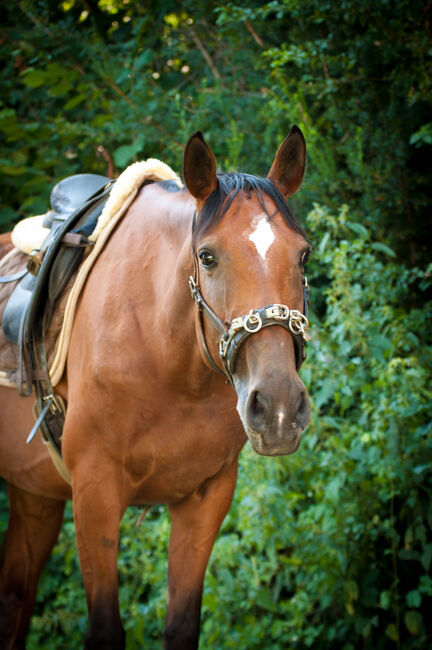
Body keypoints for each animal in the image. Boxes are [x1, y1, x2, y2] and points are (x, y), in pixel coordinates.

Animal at [0, 128, 310, 648]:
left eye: (303, 254)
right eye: (207, 256)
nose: (280, 409)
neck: (169, 360)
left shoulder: (206, 498)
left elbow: (181, 624)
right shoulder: (95, 494)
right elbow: (105, 629)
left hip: (34, 495)